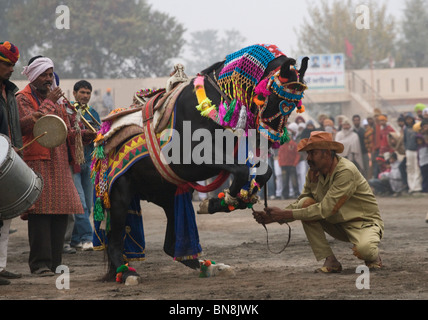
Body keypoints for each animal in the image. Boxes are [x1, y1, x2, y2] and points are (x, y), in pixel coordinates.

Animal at [91, 43, 308, 284]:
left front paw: (237, 198)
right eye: (276, 100)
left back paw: (211, 266)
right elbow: (241, 170)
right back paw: (128, 272)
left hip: (166, 194)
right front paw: (223, 200)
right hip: (120, 195)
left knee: (170, 245)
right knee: (114, 240)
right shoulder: (193, 159)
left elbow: (264, 172)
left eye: (294, 105)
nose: (270, 140)